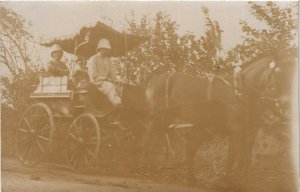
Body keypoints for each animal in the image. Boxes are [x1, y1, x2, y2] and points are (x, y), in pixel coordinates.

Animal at [142, 50, 296, 189]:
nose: (286, 103)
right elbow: (241, 159)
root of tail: (153, 80)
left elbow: (235, 159)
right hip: (159, 119)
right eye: (277, 73)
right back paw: (148, 170)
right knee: (150, 143)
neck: (239, 93)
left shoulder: (244, 132)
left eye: (292, 74)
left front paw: (227, 182)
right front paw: (243, 184)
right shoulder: (236, 131)